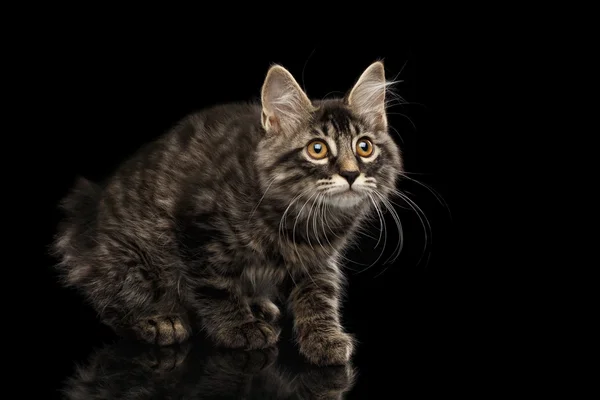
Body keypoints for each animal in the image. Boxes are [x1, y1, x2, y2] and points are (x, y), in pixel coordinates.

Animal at [52, 60, 404, 366]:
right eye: (317, 149)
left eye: (364, 147)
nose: (350, 174)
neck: (304, 215)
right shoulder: (197, 232)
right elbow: (216, 288)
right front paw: (239, 328)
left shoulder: (316, 261)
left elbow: (319, 297)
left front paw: (324, 338)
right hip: (132, 262)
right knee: (111, 302)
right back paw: (157, 319)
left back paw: (259, 305)